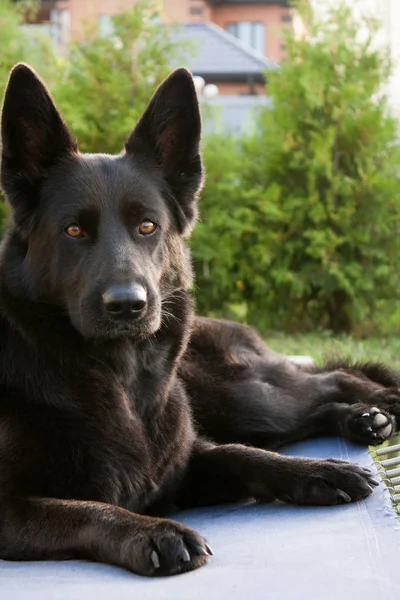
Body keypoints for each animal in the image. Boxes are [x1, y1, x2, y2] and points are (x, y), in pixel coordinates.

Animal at [0, 64, 398, 576]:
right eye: (73, 230)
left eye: (147, 226)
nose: (127, 305)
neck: (122, 382)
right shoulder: (12, 509)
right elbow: (88, 510)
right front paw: (155, 531)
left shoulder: (188, 461)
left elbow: (242, 455)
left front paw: (317, 470)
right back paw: (361, 416)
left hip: (241, 398)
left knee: (322, 384)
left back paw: (375, 407)